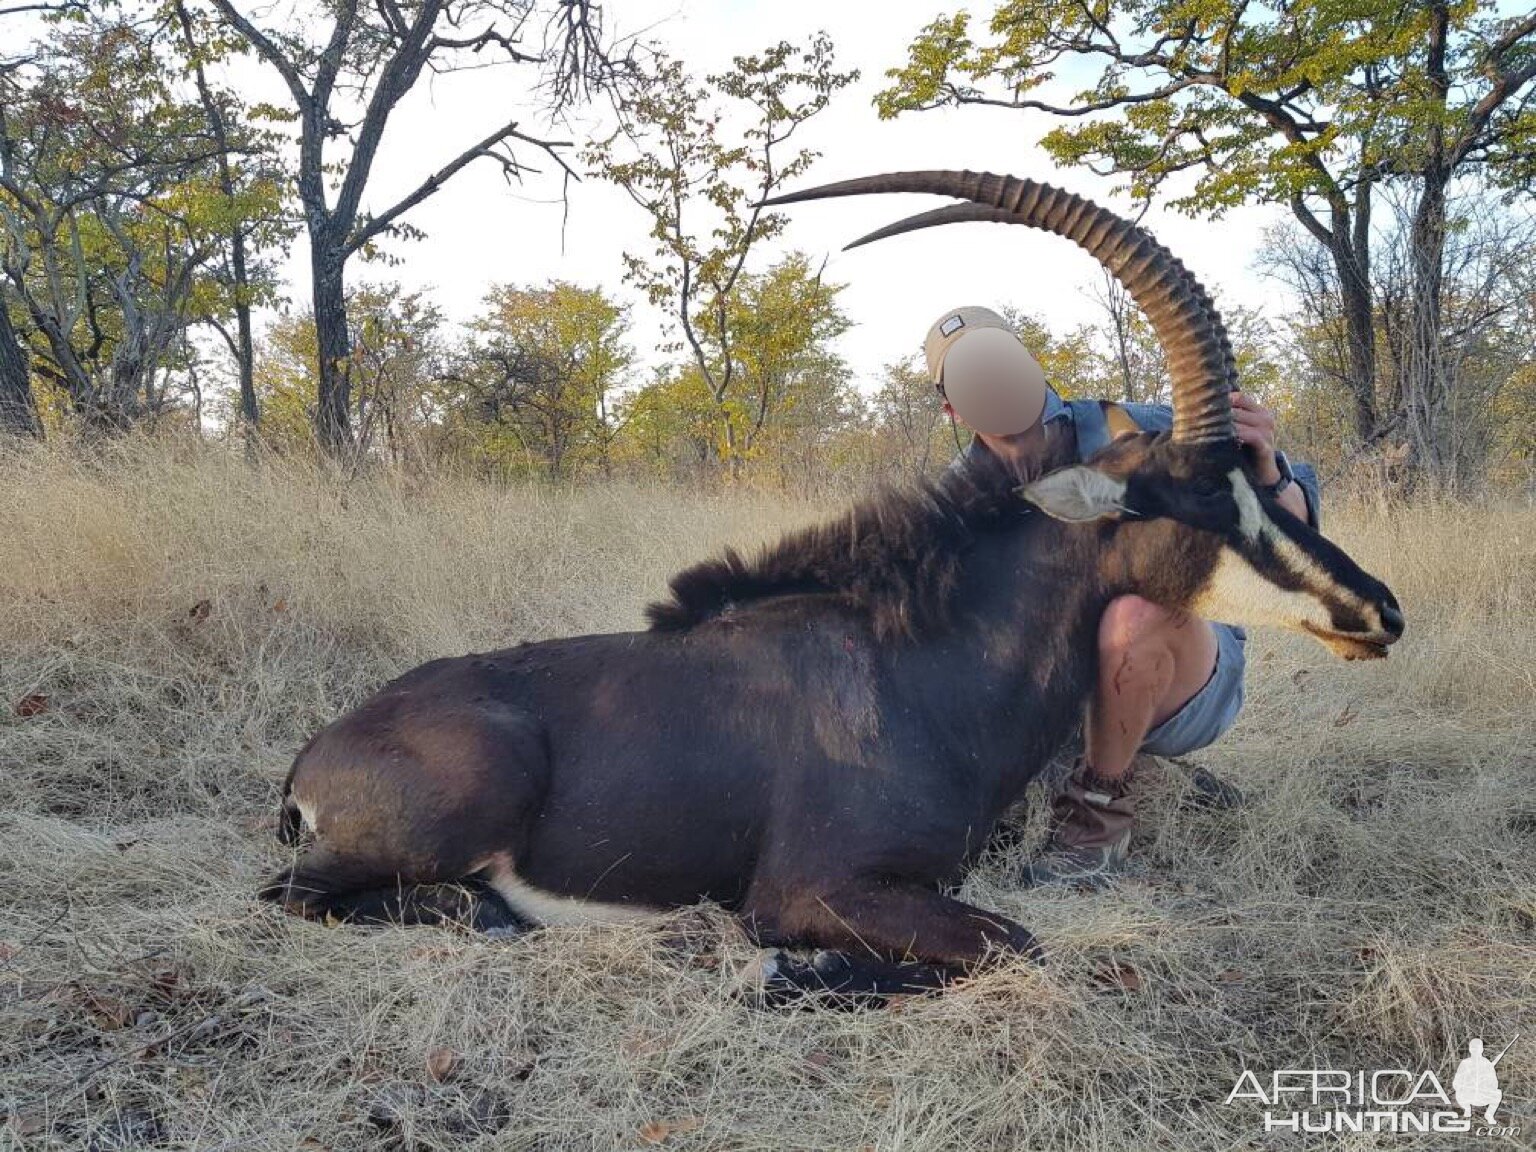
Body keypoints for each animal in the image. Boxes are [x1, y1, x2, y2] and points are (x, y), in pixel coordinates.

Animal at [264, 171, 1406, 1001]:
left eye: (1265, 474)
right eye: (1196, 500)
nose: (1379, 611)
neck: (924, 668)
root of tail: (317, 755)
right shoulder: (812, 885)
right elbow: (1014, 944)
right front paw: (790, 967)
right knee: (305, 897)